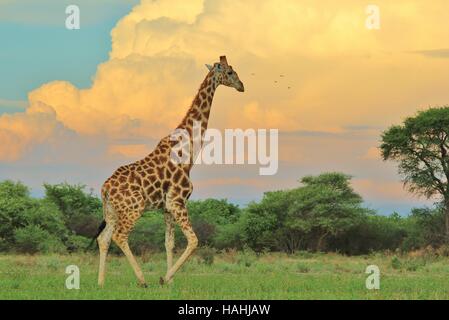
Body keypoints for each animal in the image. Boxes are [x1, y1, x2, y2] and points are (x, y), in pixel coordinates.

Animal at [95, 55, 245, 288]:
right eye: (230, 72)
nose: (241, 86)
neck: (188, 151)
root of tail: (105, 189)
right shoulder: (178, 201)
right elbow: (193, 240)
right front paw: (164, 278)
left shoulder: (167, 207)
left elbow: (169, 243)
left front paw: (170, 281)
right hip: (134, 209)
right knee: (120, 236)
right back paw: (142, 280)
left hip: (111, 211)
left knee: (104, 238)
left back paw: (101, 283)